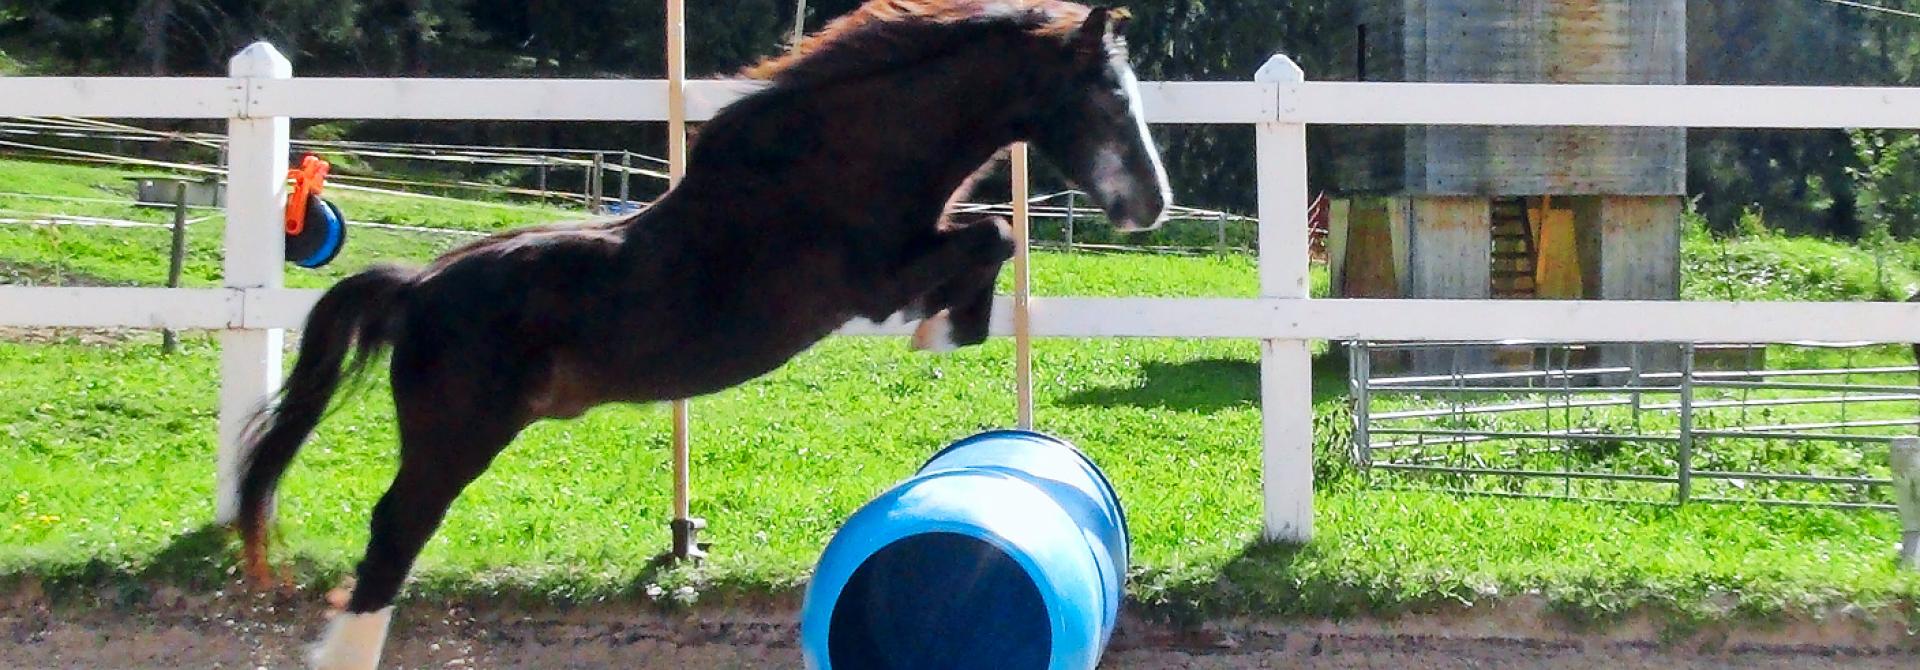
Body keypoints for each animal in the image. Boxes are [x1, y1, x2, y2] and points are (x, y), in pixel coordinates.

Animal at [231, 1, 1171, 667]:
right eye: (1107, 99)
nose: (1150, 206)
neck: (838, 163)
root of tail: (415, 287)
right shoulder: (870, 279)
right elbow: (992, 235)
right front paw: (939, 331)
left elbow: (991, 235)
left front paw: (949, 326)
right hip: (455, 439)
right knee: (393, 536)